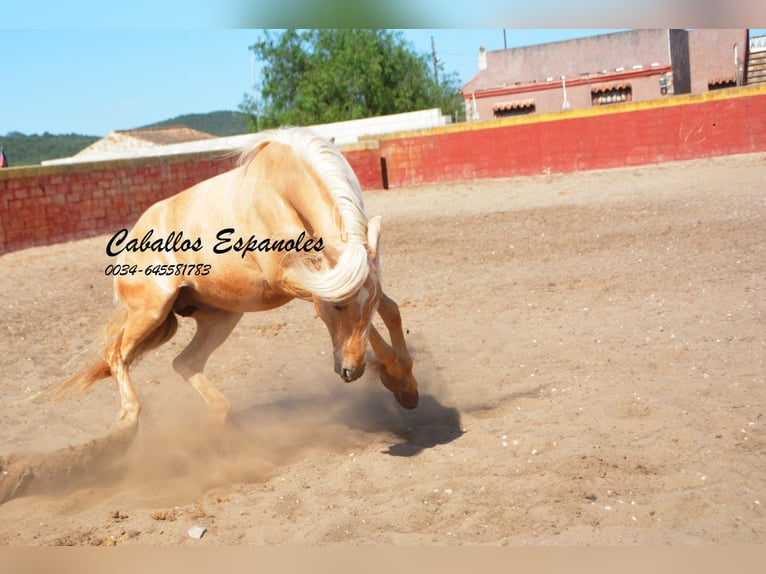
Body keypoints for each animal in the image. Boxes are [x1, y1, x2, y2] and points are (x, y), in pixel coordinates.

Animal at [58, 128, 420, 438]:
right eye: (338, 307)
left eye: (366, 306)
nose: (350, 372)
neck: (283, 187)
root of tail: (129, 243)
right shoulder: (294, 280)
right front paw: (393, 376)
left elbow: (389, 309)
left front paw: (406, 385)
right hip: (150, 311)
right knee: (115, 355)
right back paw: (127, 424)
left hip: (220, 315)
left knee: (184, 363)